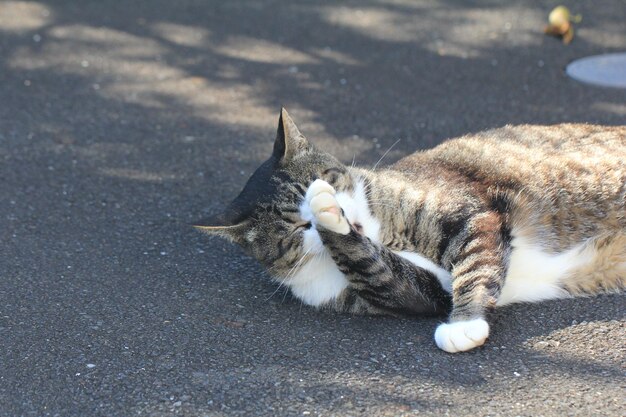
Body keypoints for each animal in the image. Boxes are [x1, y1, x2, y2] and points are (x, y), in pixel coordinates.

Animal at [196, 107, 624, 352]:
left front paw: (464, 324)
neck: (379, 232)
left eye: (326, 178)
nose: (334, 206)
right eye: (298, 228)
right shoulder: (408, 290)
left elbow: (475, 267)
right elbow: (374, 267)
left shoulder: (469, 214)